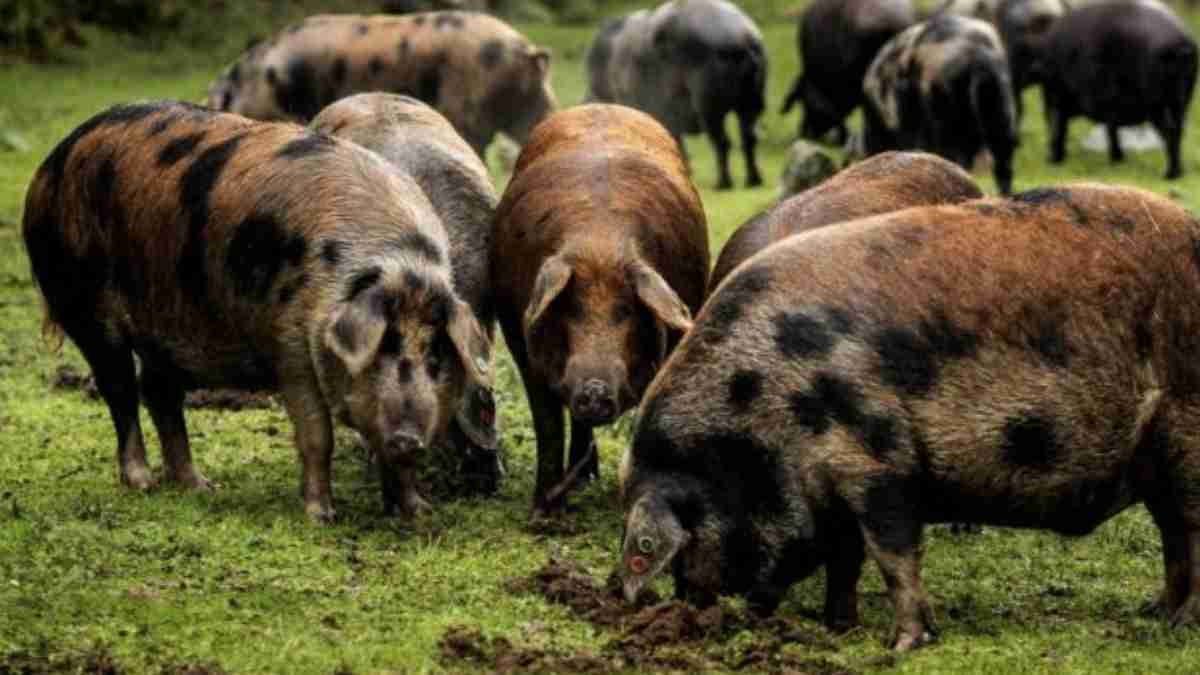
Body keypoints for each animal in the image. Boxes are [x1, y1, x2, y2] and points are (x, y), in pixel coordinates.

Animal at [492, 104, 709, 518]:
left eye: (626, 311)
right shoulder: (518, 340)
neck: (599, 243)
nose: (594, 388)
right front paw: (544, 516)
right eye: (570, 309)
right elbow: (547, 425)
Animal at [585, 0, 767, 190]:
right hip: (750, 103)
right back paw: (753, 181)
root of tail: (744, 37)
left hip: (710, 108)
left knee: (722, 142)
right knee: (749, 139)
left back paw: (722, 183)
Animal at [617, 183, 1200, 649]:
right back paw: (1155, 612)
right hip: (1155, 460)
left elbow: (893, 554)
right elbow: (846, 561)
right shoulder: (833, 492)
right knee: (1174, 533)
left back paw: (1179, 626)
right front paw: (839, 628)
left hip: (1186, 431)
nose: (690, 609)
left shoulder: (877, 462)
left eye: (670, 545)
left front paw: (902, 645)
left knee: (1190, 530)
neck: (762, 411)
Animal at [1040, 0, 1198, 179]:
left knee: (1170, 132)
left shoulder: (1060, 97)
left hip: (1156, 102)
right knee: (1179, 130)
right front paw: (1117, 159)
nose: (1048, 159)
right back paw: (1178, 172)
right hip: (1182, 101)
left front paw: (1055, 160)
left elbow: (1061, 128)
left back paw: (1170, 175)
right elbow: (1111, 128)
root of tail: (1181, 44)